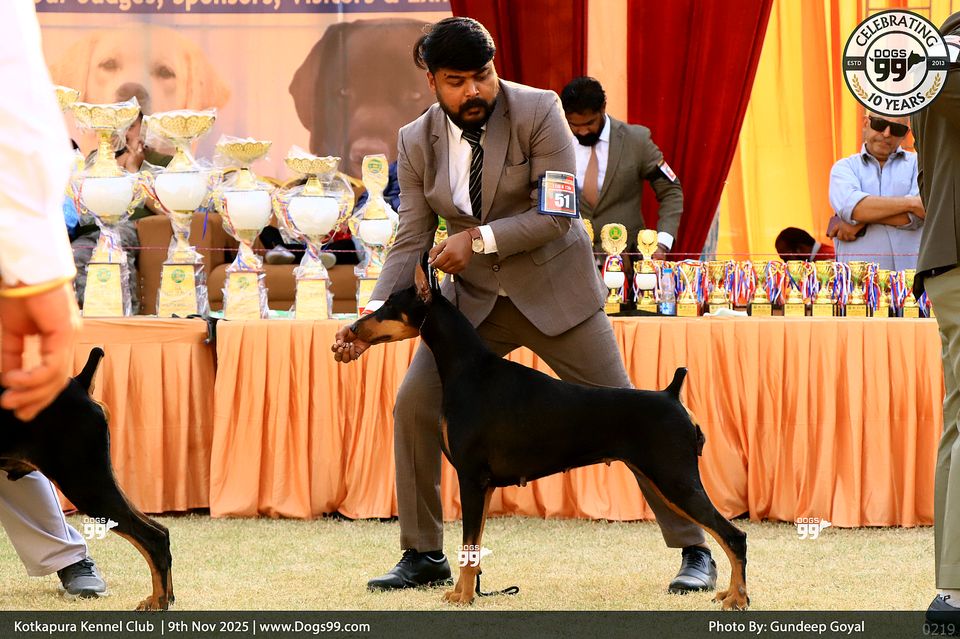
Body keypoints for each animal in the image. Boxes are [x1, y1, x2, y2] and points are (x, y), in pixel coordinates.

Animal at [0, 349, 173, 611]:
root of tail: (79, 383)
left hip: (85, 483)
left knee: (154, 537)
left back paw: (158, 602)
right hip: (96, 479)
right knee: (161, 529)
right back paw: (165, 597)